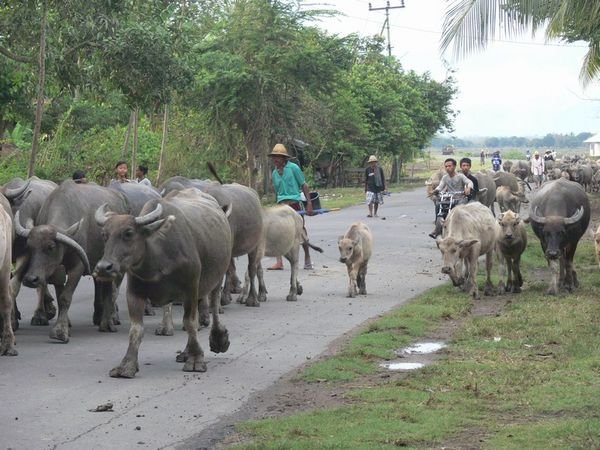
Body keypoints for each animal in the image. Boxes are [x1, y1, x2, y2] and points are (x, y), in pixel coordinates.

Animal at [14, 180, 128, 342]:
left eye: (51, 247)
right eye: (29, 246)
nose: (30, 279)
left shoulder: (78, 267)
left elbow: (65, 297)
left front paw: (60, 331)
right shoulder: (57, 269)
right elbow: (59, 295)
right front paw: (65, 323)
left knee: (108, 289)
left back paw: (107, 323)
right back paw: (99, 316)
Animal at [94, 188, 232, 378]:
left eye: (128, 233)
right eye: (104, 235)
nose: (103, 268)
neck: (157, 260)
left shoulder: (191, 289)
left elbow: (190, 322)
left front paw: (196, 359)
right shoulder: (134, 293)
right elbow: (136, 329)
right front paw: (127, 365)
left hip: (217, 277)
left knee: (214, 306)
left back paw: (218, 340)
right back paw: (185, 352)